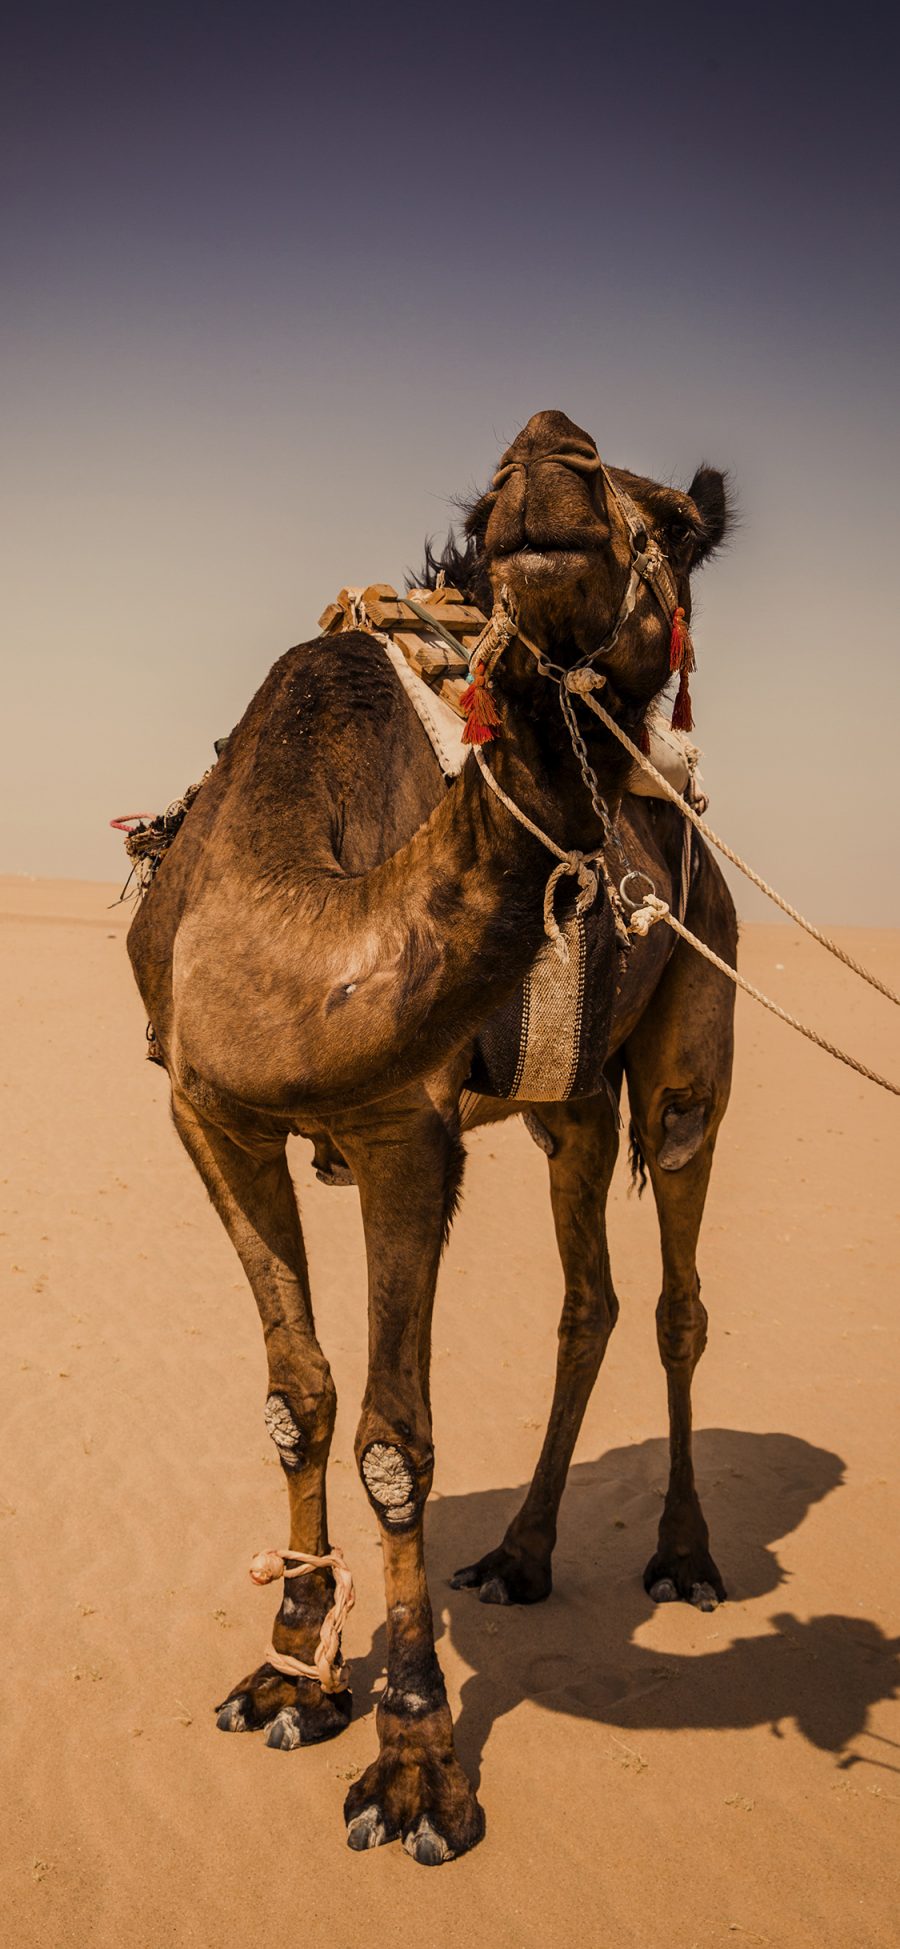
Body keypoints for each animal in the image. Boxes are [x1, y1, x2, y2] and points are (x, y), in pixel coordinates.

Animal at [130, 407, 740, 1855]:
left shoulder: (406, 1130)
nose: (551, 453)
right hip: (568, 1105)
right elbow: (298, 1398)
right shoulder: (210, 1113)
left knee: (678, 1291)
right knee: (591, 1294)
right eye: (485, 510)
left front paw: (414, 1765)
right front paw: (291, 1668)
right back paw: (518, 1556)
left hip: (697, 1023)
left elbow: (393, 1441)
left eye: (679, 528)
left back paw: (684, 1556)